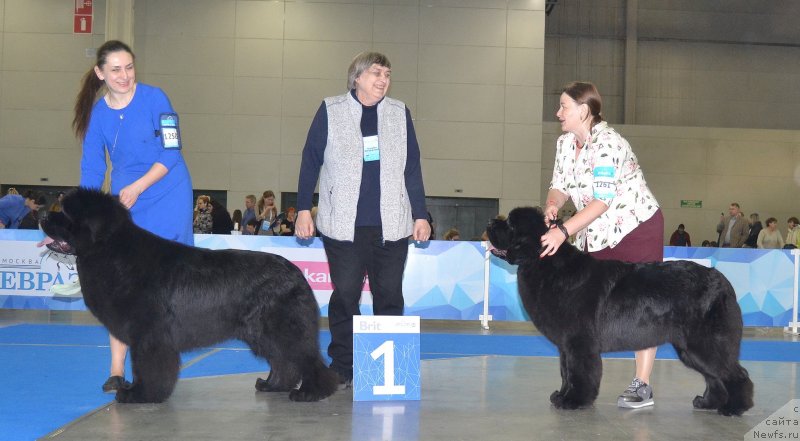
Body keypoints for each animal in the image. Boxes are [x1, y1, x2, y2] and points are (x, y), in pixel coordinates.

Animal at [39, 188, 338, 402]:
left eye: (65, 214)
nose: (42, 216)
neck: (113, 252)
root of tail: (296, 272)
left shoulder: (149, 333)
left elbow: (147, 365)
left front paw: (140, 394)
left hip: (281, 327)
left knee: (305, 357)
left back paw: (311, 392)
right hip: (261, 332)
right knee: (283, 360)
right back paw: (272, 385)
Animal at [484, 206, 752, 416]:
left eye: (510, 224)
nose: (490, 222)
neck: (545, 263)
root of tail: (723, 283)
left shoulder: (579, 343)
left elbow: (579, 373)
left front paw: (574, 401)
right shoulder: (566, 345)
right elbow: (565, 372)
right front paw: (561, 396)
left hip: (706, 343)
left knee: (734, 374)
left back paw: (735, 407)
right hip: (690, 348)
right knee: (714, 377)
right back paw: (707, 403)